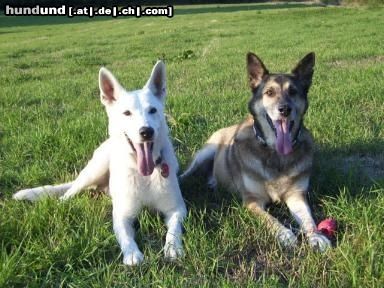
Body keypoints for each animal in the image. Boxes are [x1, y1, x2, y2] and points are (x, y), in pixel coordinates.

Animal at [14, 62, 188, 266]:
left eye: (153, 110)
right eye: (126, 113)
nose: (146, 131)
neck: (143, 174)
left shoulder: (177, 209)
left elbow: (174, 230)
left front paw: (173, 247)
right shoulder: (121, 215)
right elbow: (125, 237)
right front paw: (132, 254)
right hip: (94, 170)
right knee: (68, 192)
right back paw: (59, 204)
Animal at [182, 53, 332, 251]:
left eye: (293, 91)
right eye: (269, 93)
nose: (285, 109)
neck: (274, 152)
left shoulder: (296, 196)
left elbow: (308, 219)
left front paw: (317, 236)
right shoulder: (252, 201)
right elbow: (270, 219)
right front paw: (285, 235)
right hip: (205, 152)